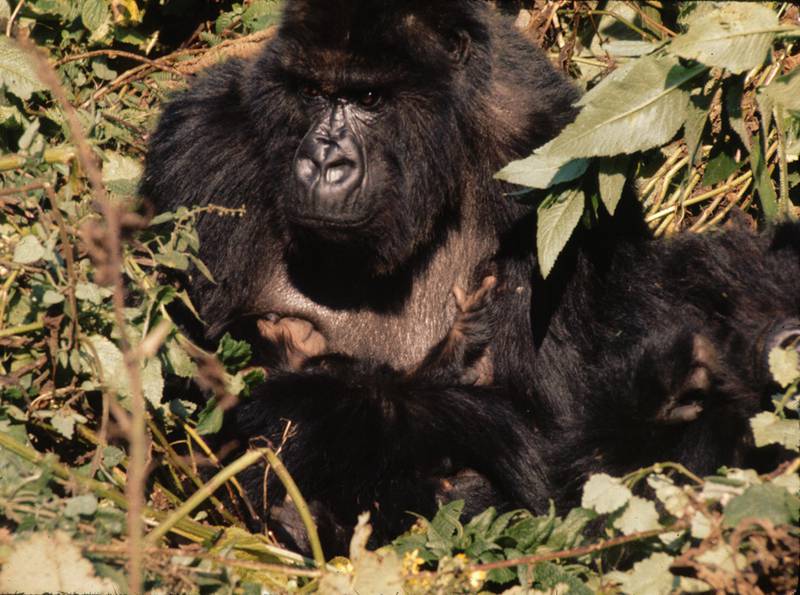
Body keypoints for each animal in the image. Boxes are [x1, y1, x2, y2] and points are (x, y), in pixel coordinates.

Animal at [141, 0, 796, 556]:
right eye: (313, 92)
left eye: (369, 97)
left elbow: (564, 432)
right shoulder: (202, 145)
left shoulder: (551, 160)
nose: (324, 161)